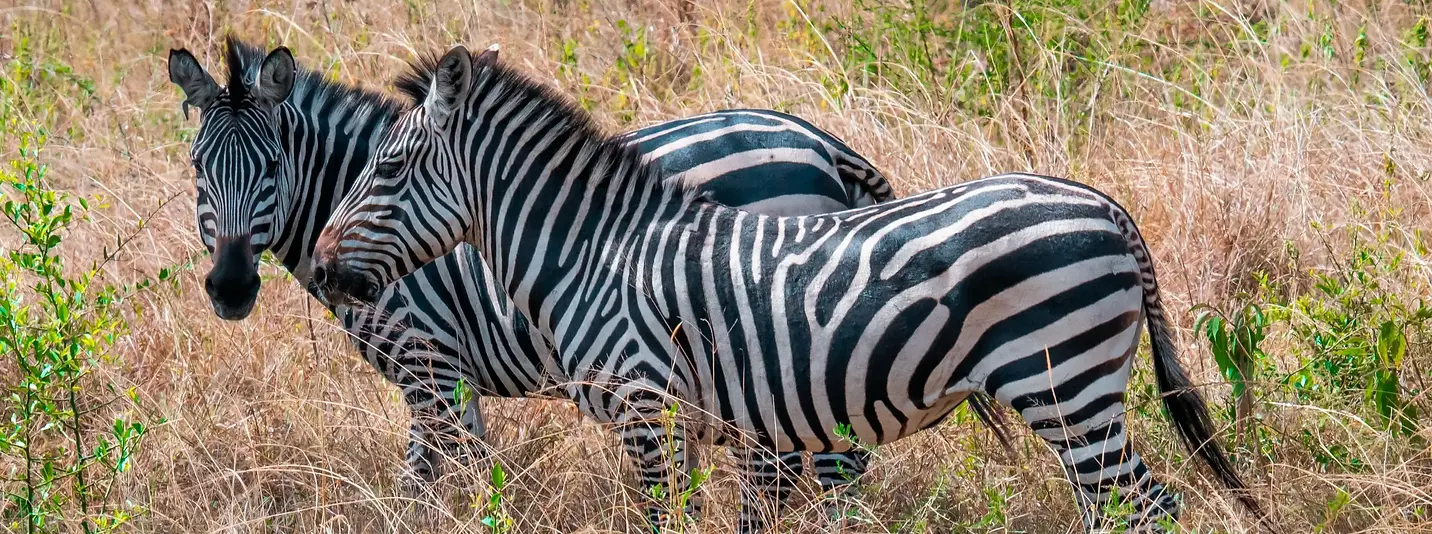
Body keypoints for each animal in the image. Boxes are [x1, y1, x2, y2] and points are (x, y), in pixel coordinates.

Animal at [166, 36, 1006, 500]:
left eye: (272, 168)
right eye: (198, 169)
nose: (231, 290)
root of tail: (822, 143)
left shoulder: (432, 364)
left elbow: (433, 485)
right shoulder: (446, 377)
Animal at [309, 44, 1270, 533]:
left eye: (384, 170)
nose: (318, 268)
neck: (590, 252)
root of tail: (1106, 206)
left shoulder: (646, 402)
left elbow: (662, 519)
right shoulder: (696, 417)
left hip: (1062, 379)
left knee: (1143, 505)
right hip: (1074, 387)